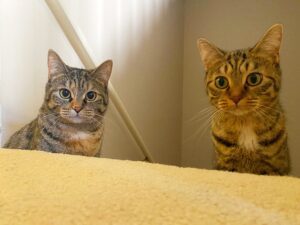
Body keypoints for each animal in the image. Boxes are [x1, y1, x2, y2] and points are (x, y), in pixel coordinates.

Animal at [197, 25, 290, 176]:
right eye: (221, 82)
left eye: (254, 79)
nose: (236, 97)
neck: (245, 125)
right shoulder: (226, 167)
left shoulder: (274, 169)